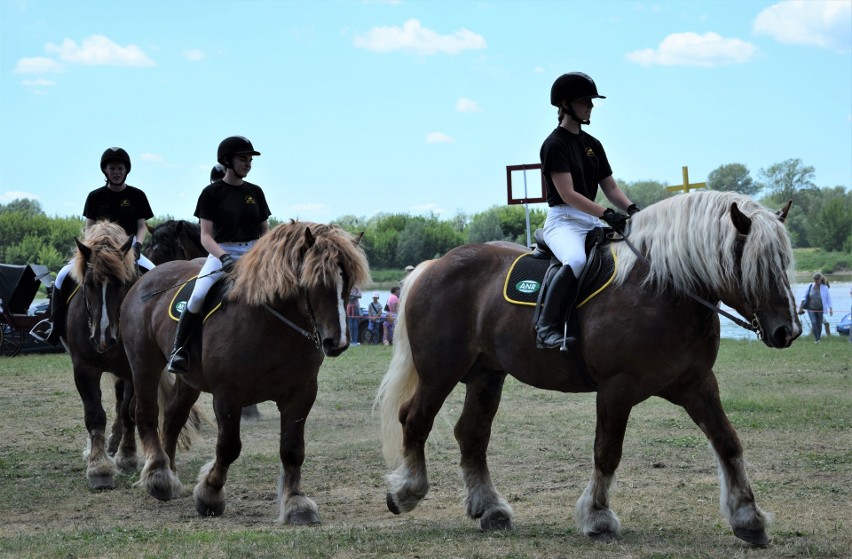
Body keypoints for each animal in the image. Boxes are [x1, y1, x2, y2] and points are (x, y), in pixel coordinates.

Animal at [120, 220, 370, 524]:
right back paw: (158, 475)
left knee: (172, 419)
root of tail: (145, 282)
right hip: (143, 363)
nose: (337, 342)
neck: (273, 324)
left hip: (188, 381)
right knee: (145, 412)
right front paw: (210, 494)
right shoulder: (228, 395)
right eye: (315, 282)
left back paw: (168, 474)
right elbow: (229, 447)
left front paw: (296, 503)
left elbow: (292, 449)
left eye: (348, 283)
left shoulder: (302, 394)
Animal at [376, 191, 804, 548]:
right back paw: (406, 492)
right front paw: (598, 518)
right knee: (414, 419)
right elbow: (607, 451)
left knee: (472, 434)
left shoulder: (697, 384)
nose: (789, 331)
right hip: (440, 372)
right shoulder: (617, 389)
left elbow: (728, 442)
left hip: (486, 377)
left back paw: (490, 509)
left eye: (784, 262)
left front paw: (748, 518)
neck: (662, 289)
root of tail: (435, 265)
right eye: (758, 265)